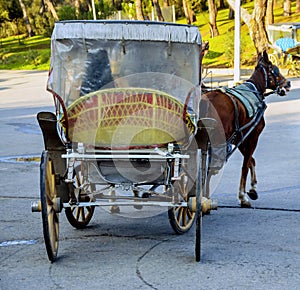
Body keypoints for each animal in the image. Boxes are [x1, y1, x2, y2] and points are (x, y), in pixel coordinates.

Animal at [197, 50, 290, 208]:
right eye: (275, 70)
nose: (288, 83)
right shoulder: (252, 137)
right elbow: (245, 166)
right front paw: (243, 196)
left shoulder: (240, 139)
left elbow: (251, 161)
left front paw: (253, 189)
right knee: (210, 167)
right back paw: (204, 198)